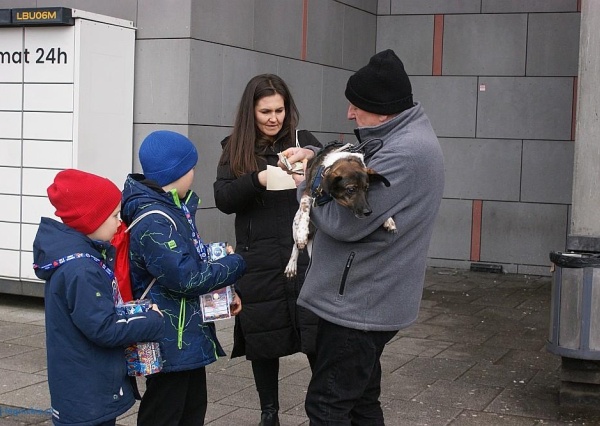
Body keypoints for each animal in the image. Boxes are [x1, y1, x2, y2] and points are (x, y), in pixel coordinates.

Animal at [284, 141, 396, 278]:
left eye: (366, 188)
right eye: (351, 189)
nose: (368, 212)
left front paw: (388, 220)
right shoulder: (307, 193)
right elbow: (304, 211)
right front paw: (302, 234)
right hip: (295, 222)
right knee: (295, 244)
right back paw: (292, 264)